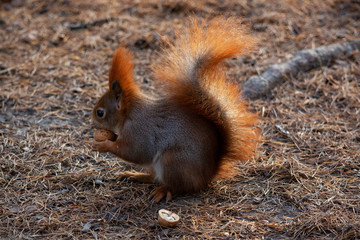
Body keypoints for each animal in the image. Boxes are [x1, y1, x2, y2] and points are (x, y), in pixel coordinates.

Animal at [91, 16, 260, 202]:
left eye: (100, 113)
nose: (92, 125)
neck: (128, 114)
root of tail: (207, 175)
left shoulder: (140, 132)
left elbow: (134, 152)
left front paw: (103, 146)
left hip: (173, 161)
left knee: (178, 186)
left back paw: (162, 190)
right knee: (154, 177)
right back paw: (136, 175)